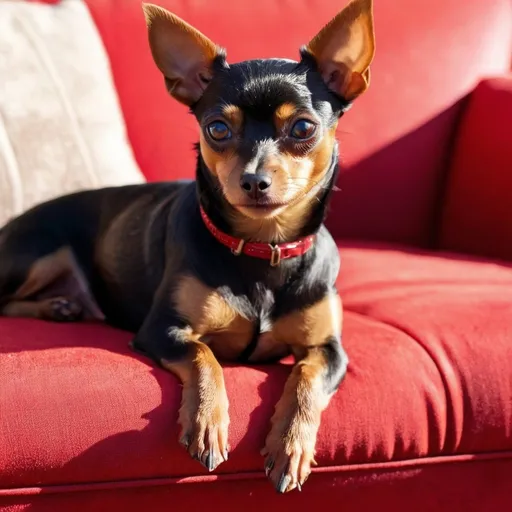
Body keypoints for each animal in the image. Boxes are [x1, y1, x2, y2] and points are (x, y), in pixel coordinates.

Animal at [0, 0, 376, 494]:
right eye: (217, 129)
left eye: (302, 127)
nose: (254, 180)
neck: (262, 248)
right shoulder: (163, 329)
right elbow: (205, 357)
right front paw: (207, 422)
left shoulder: (329, 350)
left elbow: (305, 379)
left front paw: (291, 445)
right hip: (38, 255)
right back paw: (57, 306)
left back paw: (60, 307)